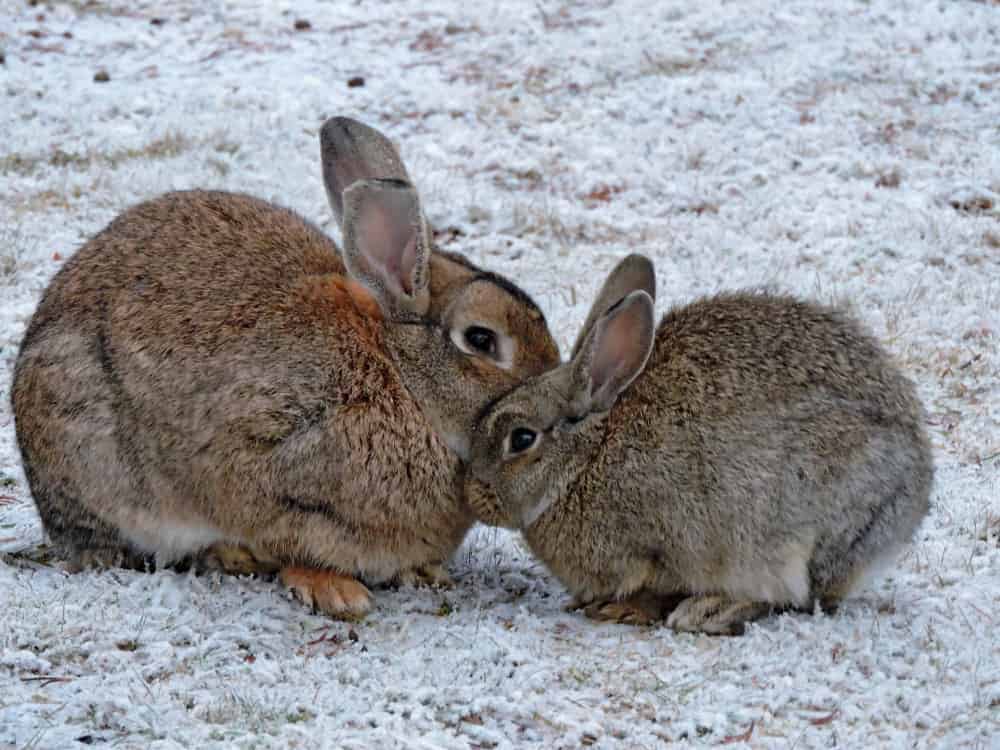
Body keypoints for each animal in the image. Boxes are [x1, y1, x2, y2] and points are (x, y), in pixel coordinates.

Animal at [13, 119, 564, 624]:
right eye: (481, 340)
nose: (557, 394)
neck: (402, 376)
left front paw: (423, 572)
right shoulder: (263, 462)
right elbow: (286, 540)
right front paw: (334, 591)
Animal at [464, 258, 932, 636]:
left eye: (522, 438)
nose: (474, 493)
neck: (586, 458)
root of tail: (915, 490)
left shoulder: (662, 546)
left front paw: (623, 610)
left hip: (803, 531)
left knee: (797, 597)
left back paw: (710, 611)